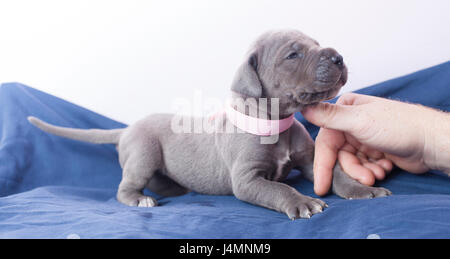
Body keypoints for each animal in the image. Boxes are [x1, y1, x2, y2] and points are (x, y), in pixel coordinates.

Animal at [29, 30, 392, 219]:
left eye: (316, 44)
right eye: (293, 55)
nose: (338, 57)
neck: (275, 124)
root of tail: (129, 127)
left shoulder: (309, 159)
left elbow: (336, 174)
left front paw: (363, 190)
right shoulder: (246, 180)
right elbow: (278, 188)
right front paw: (301, 202)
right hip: (143, 153)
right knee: (126, 187)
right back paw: (139, 199)